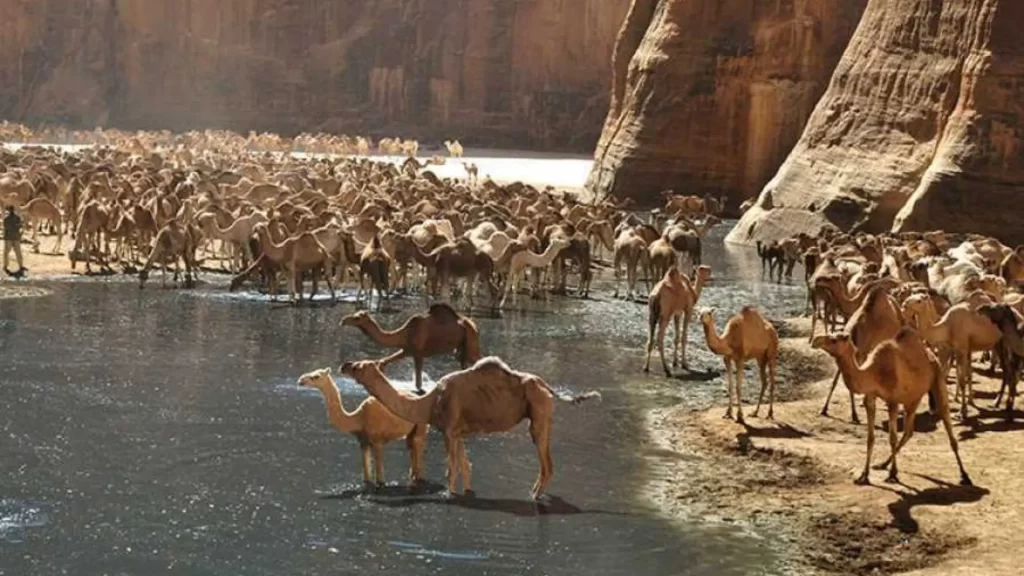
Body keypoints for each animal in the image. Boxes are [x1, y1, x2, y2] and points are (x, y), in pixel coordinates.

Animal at [298, 368, 426, 486]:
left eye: (316, 376)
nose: (300, 380)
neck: (358, 419)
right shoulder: (363, 441)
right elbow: (366, 475)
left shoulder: (377, 440)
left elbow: (380, 479)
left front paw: (381, 482)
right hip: (411, 432)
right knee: (412, 449)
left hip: (420, 426)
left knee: (418, 447)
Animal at [341, 303, 482, 393]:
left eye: (357, 318)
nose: (343, 320)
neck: (404, 333)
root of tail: (473, 324)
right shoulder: (407, 350)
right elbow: (384, 361)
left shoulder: (418, 353)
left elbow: (418, 383)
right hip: (461, 348)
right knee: (464, 364)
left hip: (471, 339)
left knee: (477, 359)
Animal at [341, 357, 600, 498]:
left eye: (359, 367)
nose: (344, 365)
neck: (429, 402)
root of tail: (546, 386)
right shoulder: (458, 432)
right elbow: (465, 467)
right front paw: (465, 491)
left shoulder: (448, 429)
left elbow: (451, 468)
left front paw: (449, 494)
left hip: (539, 411)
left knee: (546, 462)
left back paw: (535, 496)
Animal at [812, 329, 972, 487]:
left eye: (834, 340)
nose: (815, 340)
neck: (873, 372)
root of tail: (931, 355)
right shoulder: (871, 397)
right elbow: (870, 438)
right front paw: (864, 475)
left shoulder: (893, 401)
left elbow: (892, 438)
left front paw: (893, 474)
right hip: (913, 398)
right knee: (909, 431)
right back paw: (883, 464)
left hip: (937, 378)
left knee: (946, 421)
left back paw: (965, 475)